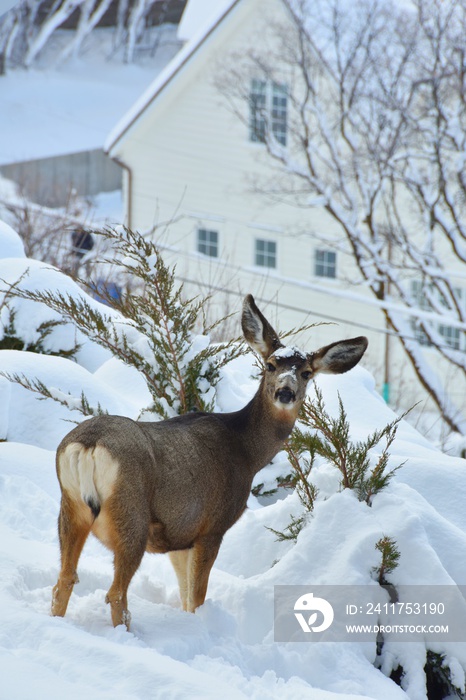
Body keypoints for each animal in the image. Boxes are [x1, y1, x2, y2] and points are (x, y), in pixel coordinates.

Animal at [51, 296, 368, 628]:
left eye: (306, 372)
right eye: (270, 365)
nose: (285, 392)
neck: (246, 452)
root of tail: (89, 445)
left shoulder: (181, 536)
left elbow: (185, 596)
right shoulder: (212, 527)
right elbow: (197, 598)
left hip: (70, 506)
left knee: (64, 580)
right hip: (130, 513)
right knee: (115, 594)